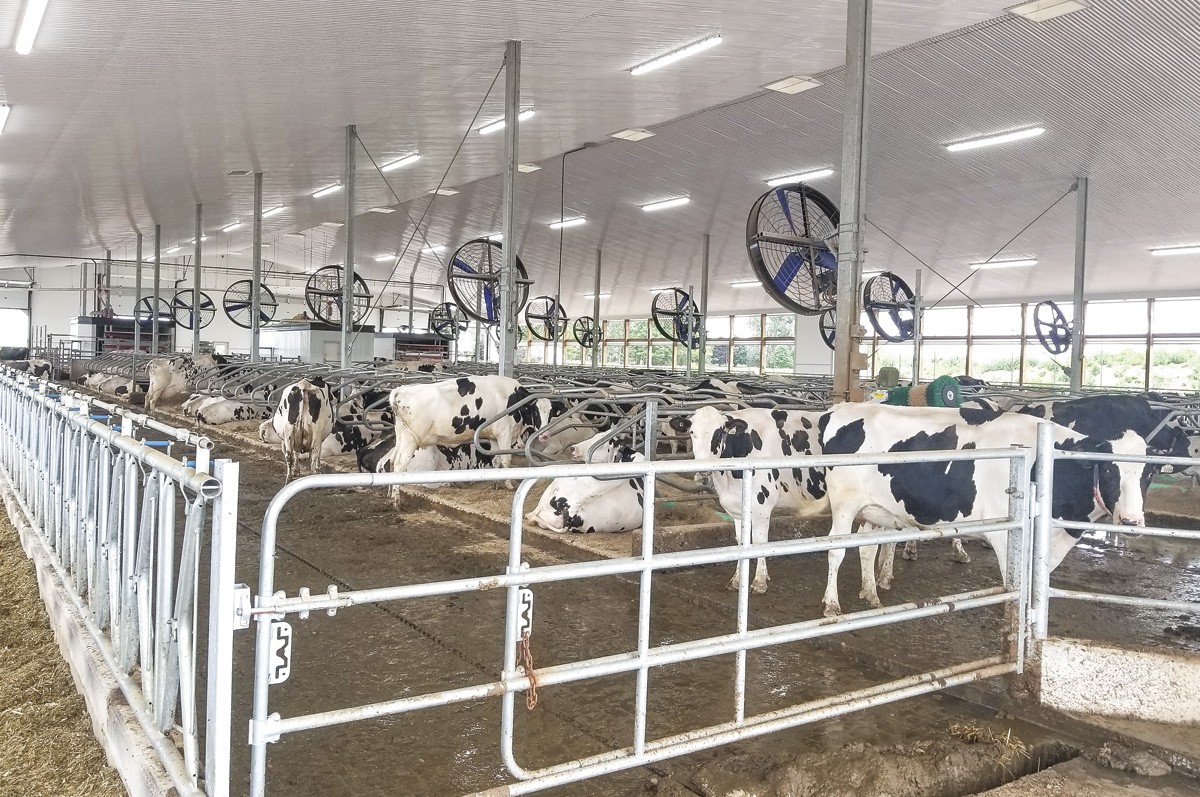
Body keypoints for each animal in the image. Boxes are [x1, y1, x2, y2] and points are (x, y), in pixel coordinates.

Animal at [681, 405, 830, 590]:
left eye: (719, 433)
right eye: (692, 432)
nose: (702, 471)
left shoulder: (762, 506)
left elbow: (759, 541)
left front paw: (760, 580)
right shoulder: (737, 509)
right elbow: (740, 542)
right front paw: (737, 579)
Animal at [820, 405, 1147, 614]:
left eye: (1148, 473)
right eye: (1109, 470)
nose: (1131, 520)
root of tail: (841, 408)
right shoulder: (1007, 535)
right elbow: (1013, 585)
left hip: (875, 509)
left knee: (867, 549)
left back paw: (871, 595)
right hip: (845, 504)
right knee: (836, 551)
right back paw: (832, 605)